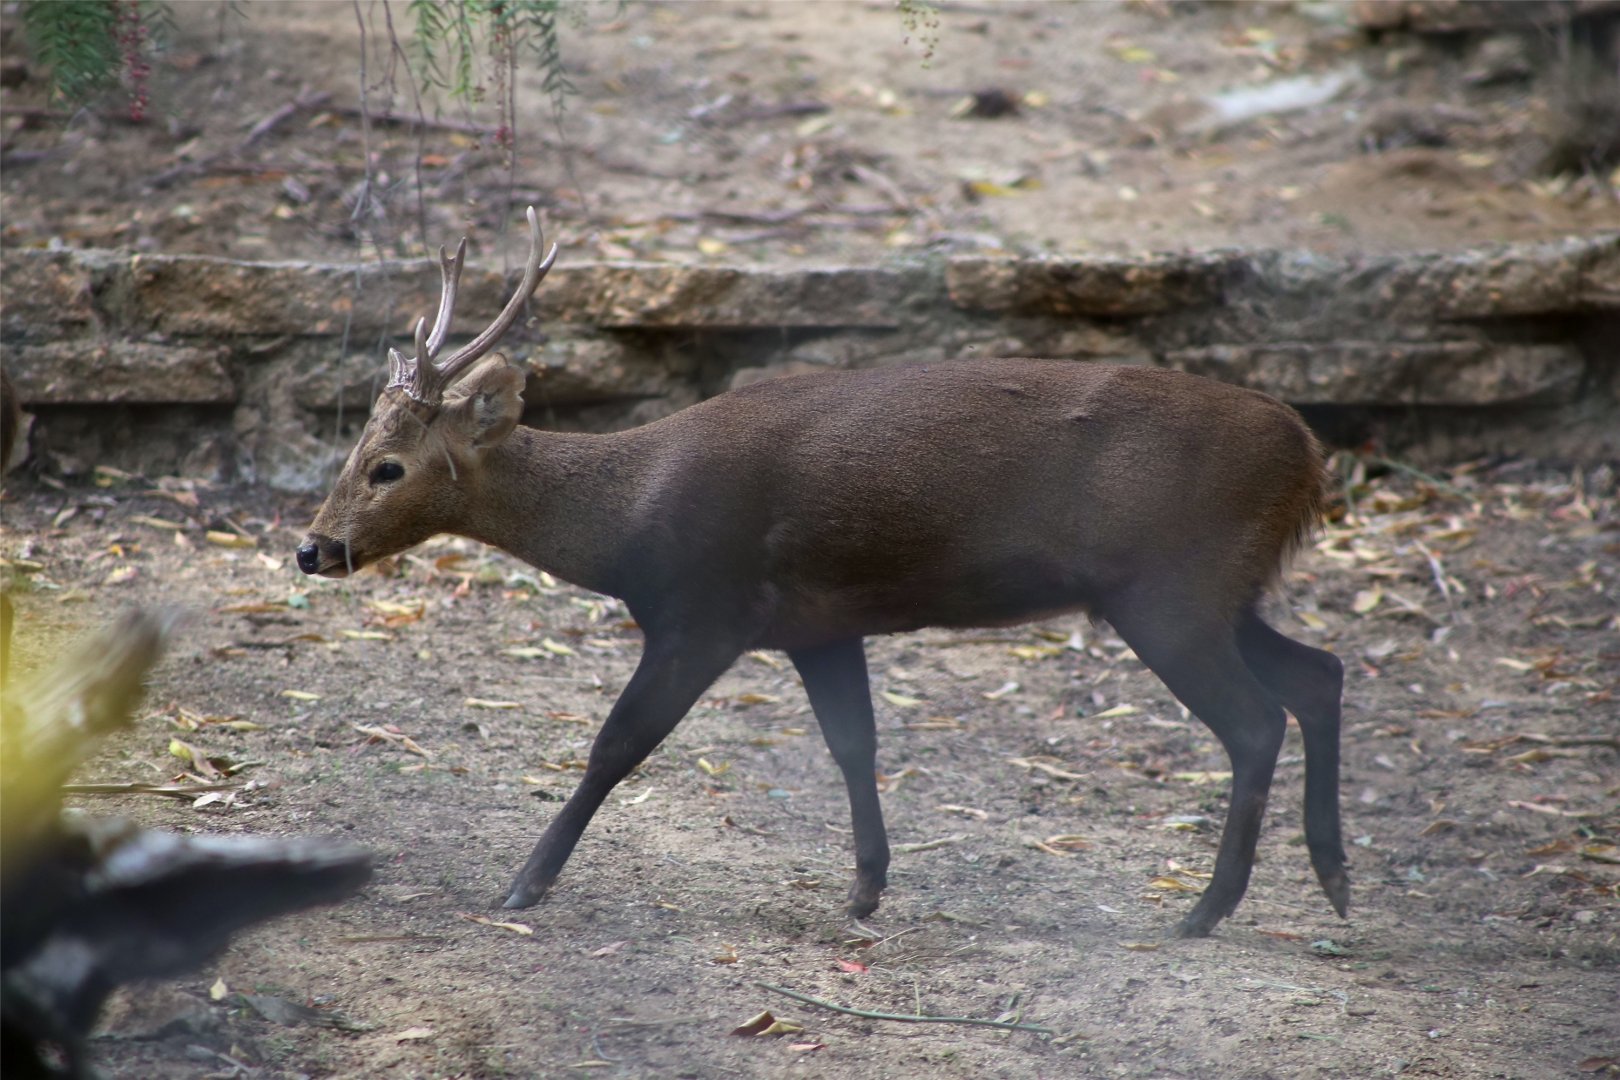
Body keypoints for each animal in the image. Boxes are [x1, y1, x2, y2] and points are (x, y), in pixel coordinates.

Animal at [297, 208, 1348, 938]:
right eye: (357, 447)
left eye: (388, 466)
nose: (314, 547)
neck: (630, 523)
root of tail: (1308, 450)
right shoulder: (817, 626)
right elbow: (854, 744)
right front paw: (866, 889)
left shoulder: (705, 609)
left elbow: (615, 744)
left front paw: (524, 882)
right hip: (1216, 589)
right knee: (1320, 673)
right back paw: (1333, 881)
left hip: (1173, 586)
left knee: (1256, 720)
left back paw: (1206, 910)